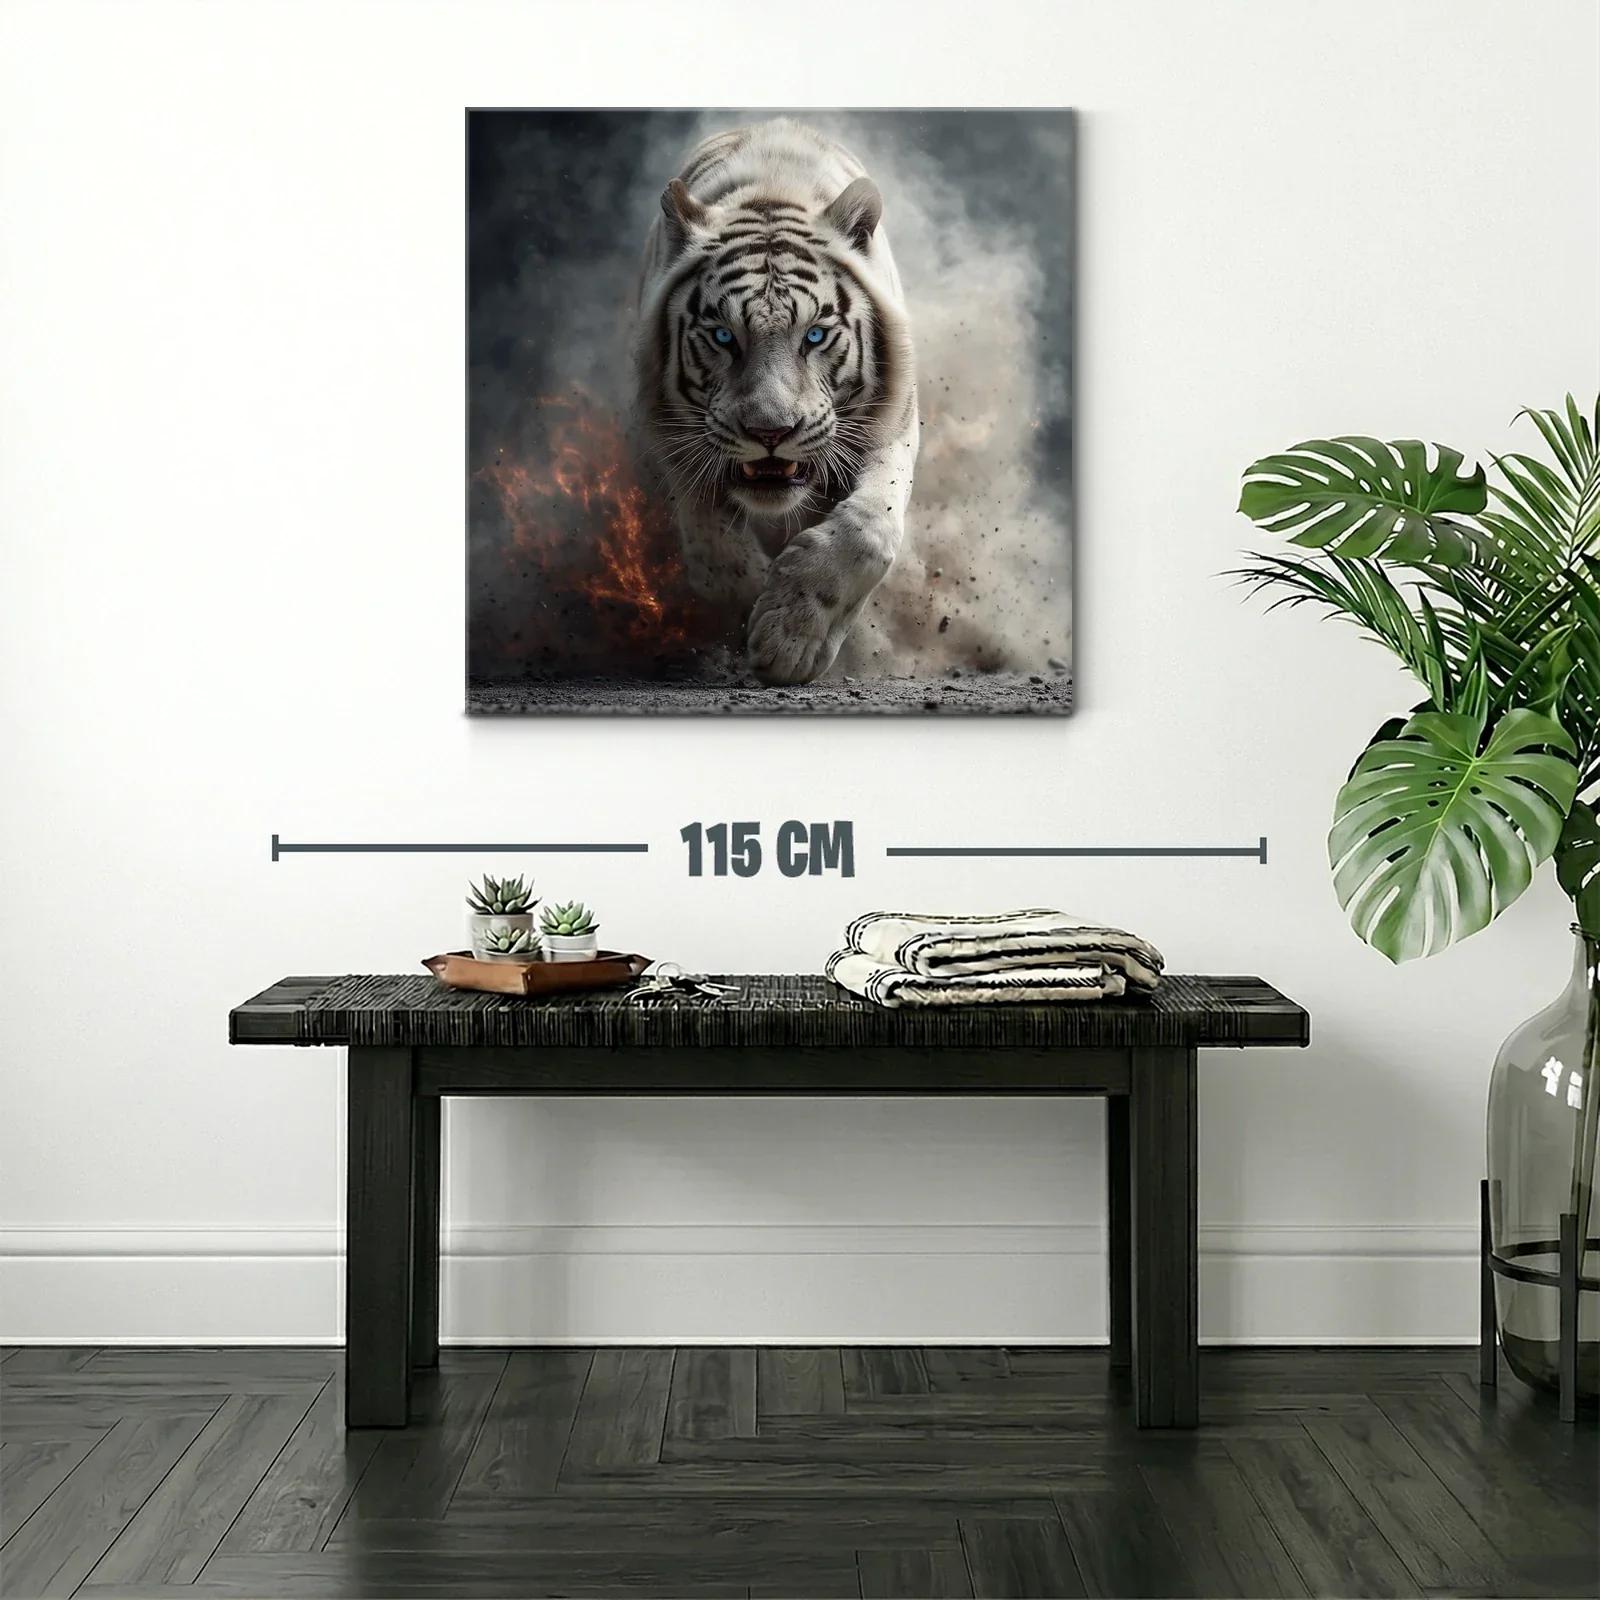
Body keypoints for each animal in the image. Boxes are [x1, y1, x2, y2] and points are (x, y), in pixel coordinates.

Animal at [635, 119, 919, 685]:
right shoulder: (672, 438)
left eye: (815, 335)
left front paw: (791, 639)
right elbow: (715, 557)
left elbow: (870, 531)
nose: (770, 433)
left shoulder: (895, 423)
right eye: (723, 336)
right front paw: (759, 617)